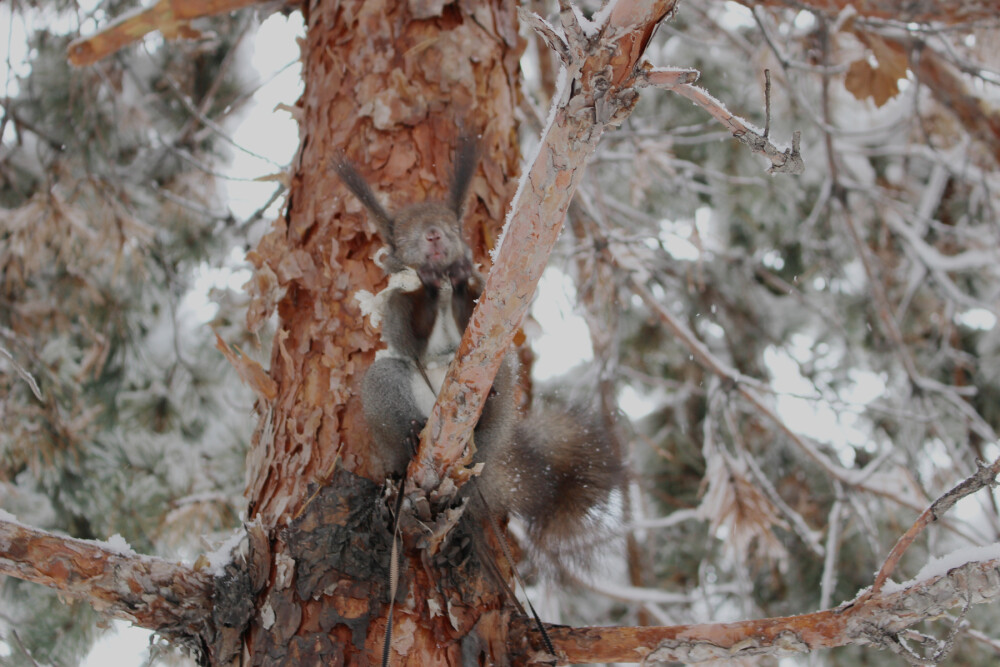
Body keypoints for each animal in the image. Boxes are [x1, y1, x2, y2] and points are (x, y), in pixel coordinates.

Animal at [332, 138, 620, 568]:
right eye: (404, 236)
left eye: (454, 226)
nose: (435, 236)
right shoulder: (396, 305)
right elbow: (405, 336)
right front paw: (428, 286)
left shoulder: (481, 298)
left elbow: (475, 314)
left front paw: (459, 276)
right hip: (387, 393)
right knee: (396, 415)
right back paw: (411, 435)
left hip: (498, 380)